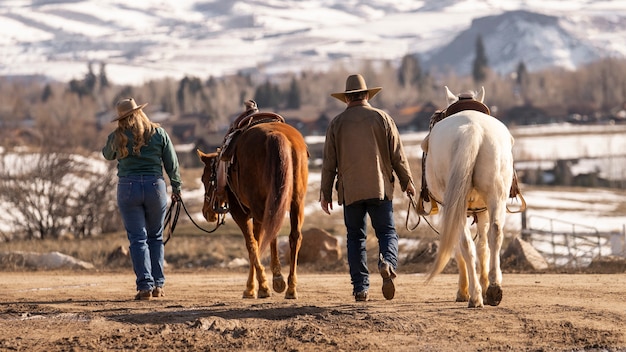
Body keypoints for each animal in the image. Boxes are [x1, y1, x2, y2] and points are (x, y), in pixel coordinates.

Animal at [197, 119, 308, 298]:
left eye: (204, 178)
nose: (206, 212)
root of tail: (277, 135)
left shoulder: (240, 213)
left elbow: (252, 245)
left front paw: (259, 286)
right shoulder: (255, 215)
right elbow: (256, 244)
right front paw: (253, 287)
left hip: (262, 206)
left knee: (269, 234)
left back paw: (278, 279)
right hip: (297, 202)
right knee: (294, 237)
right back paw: (291, 287)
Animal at [420, 86, 512, 308]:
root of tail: (473, 130)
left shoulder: (448, 209)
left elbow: (461, 248)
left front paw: (463, 290)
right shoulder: (483, 210)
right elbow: (484, 247)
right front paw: (486, 285)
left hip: (456, 205)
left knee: (464, 244)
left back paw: (475, 295)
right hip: (496, 195)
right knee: (496, 233)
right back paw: (493, 289)